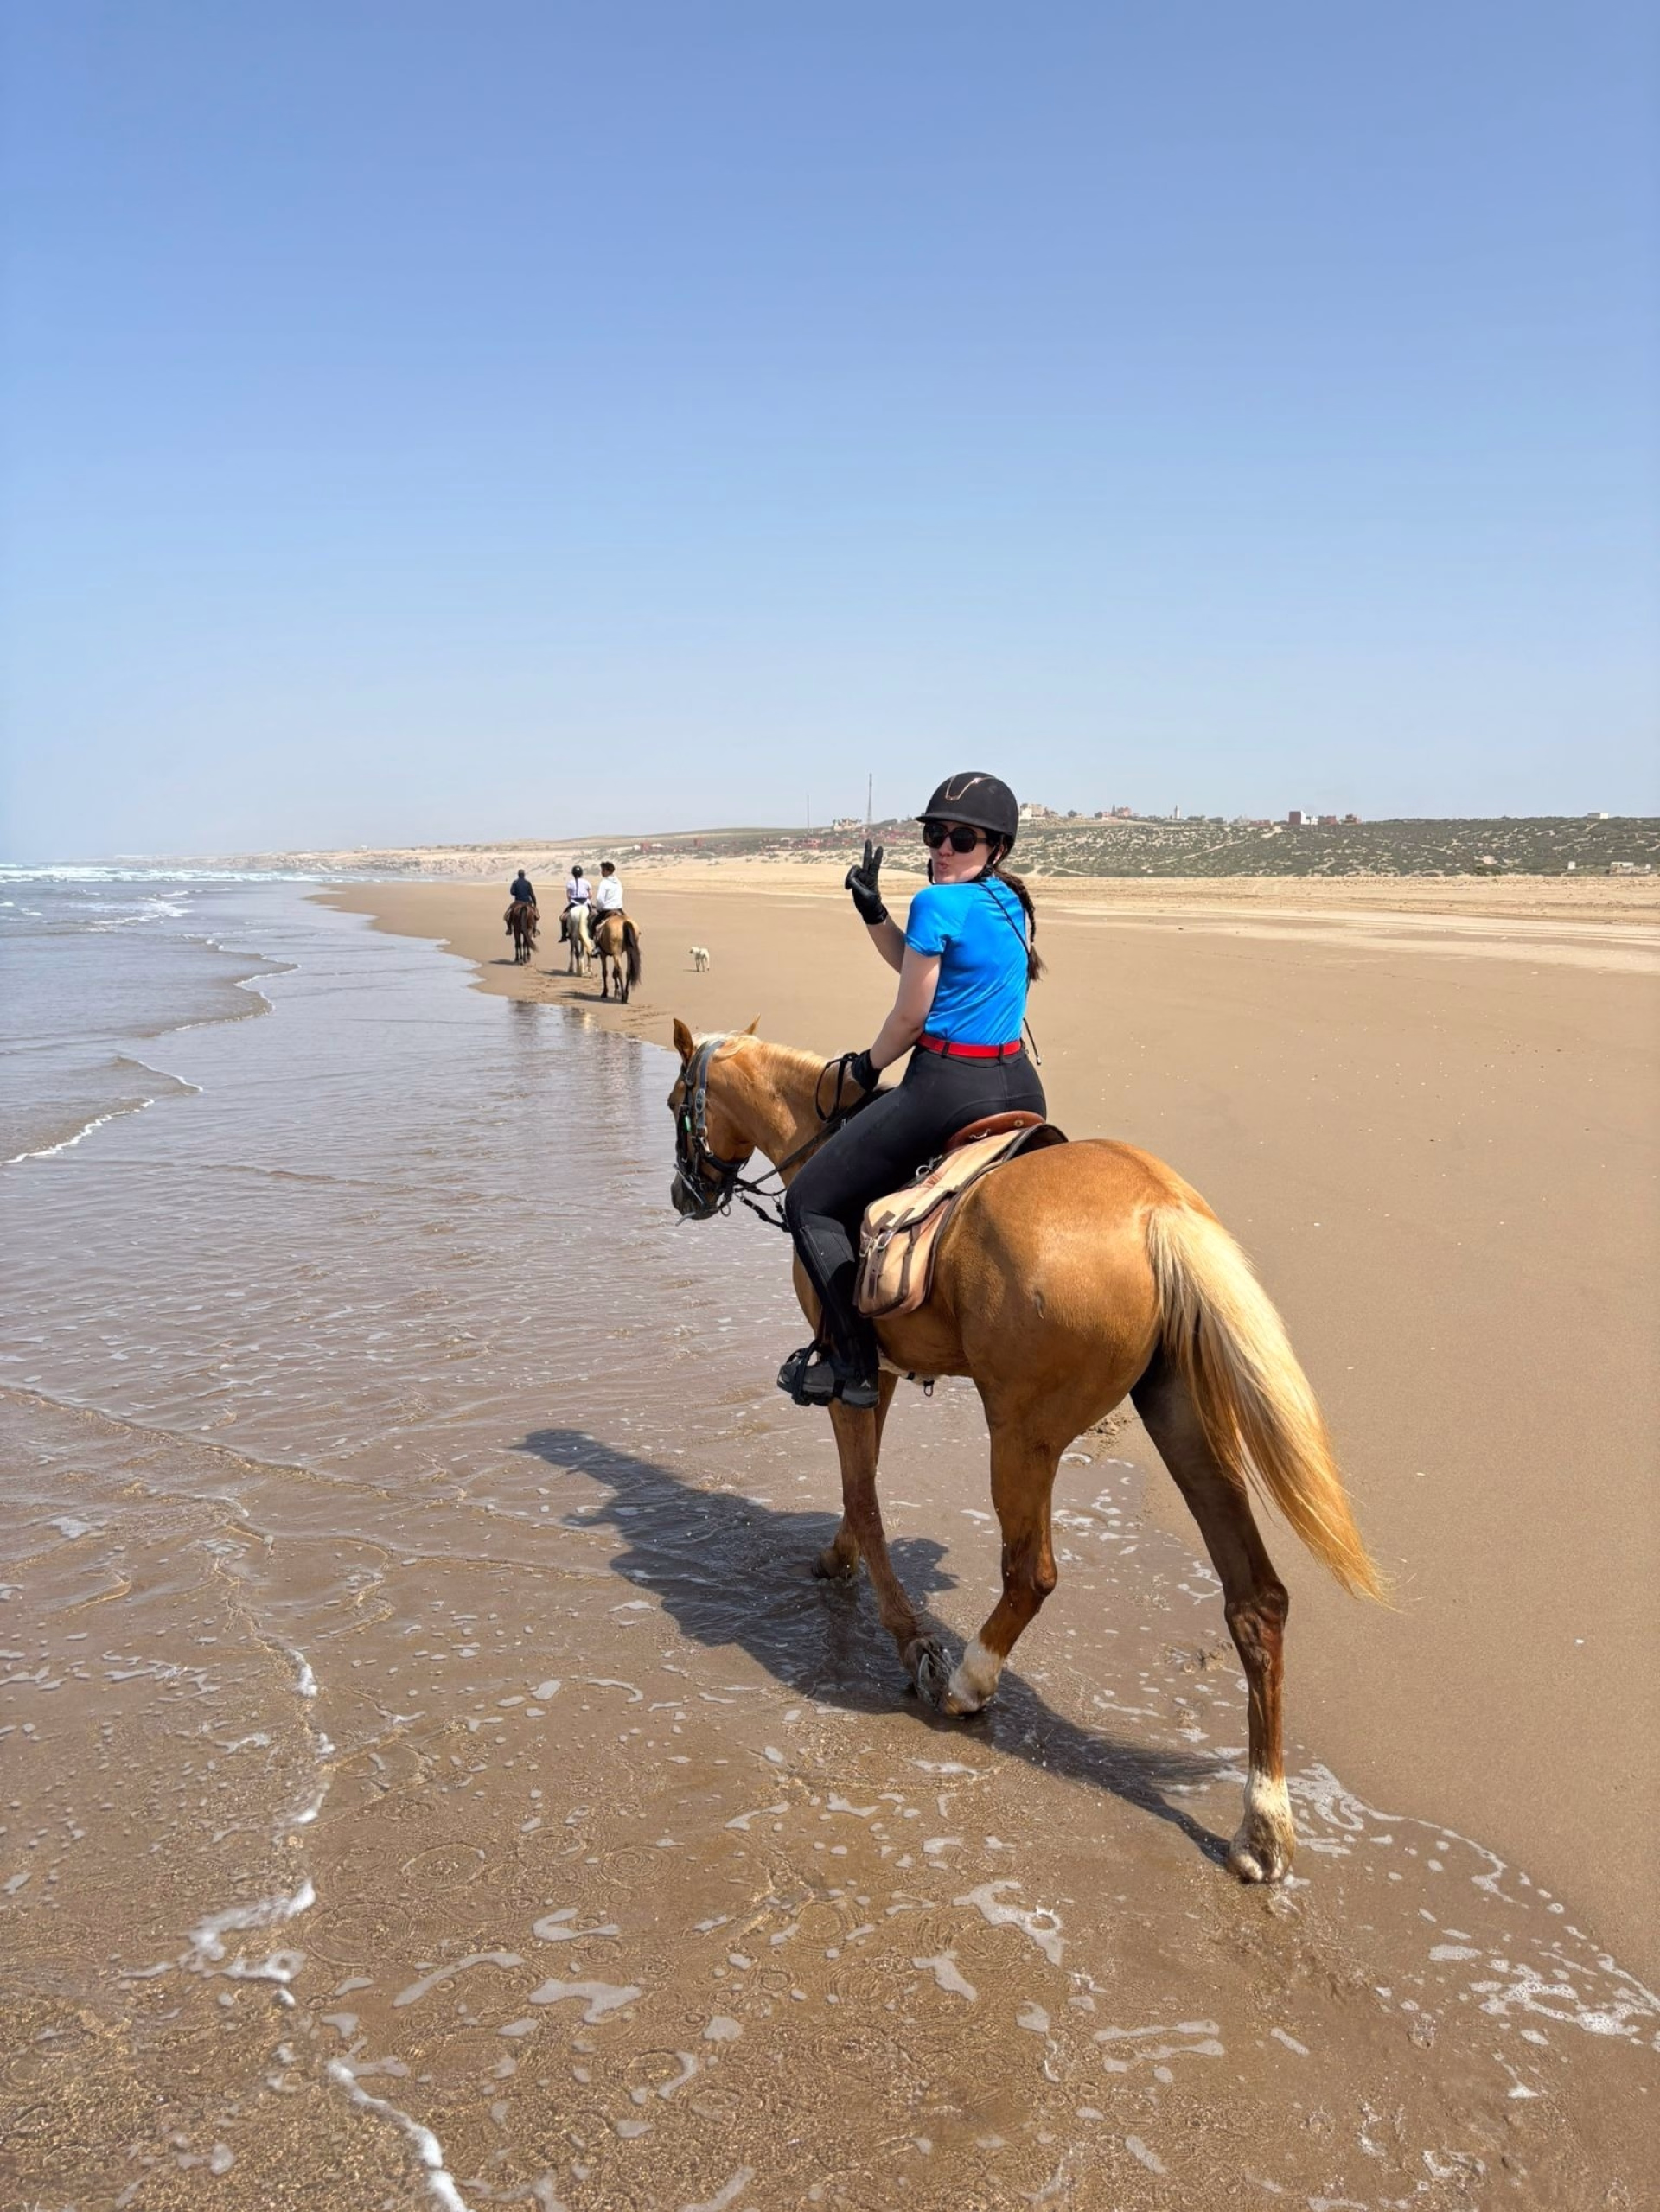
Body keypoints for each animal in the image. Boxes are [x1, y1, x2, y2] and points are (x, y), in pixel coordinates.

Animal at [667, 1023, 1384, 1885]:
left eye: (674, 1103)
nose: (682, 1193)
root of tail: (1158, 1207)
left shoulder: (853, 1371)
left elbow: (864, 1497)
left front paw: (911, 1638)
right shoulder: (884, 1375)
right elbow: (857, 1494)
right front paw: (838, 1561)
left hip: (1020, 1430)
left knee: (1032, 1572)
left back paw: (969, 1680)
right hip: (1183, 1418)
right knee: (1257, 1599)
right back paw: (1265, 1823)